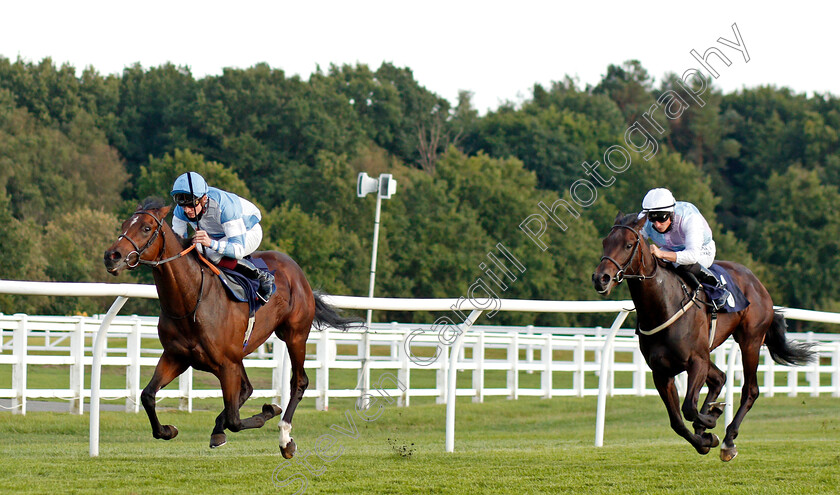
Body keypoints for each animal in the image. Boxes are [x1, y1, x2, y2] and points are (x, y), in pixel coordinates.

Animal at [103, 200, 356, 460]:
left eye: (146, 228)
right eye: (124, 224)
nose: (112, 256)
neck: (191, 300)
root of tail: (296, 271)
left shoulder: (226, 364)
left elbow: (235, 420)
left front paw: (267, 411)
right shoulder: (176, 357)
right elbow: (148, 395)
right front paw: (168, 430)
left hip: (294, 335)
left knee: (298, 382)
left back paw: (285, 438)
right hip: (240, 354)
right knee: (247, 388)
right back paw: (220, 428)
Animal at [592, 212, 812, 462]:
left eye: (629, 244)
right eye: (605, 242)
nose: (601, 278)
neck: (663, 305)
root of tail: (757, 282)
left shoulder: (696, 361)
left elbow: (689, 408)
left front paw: (711, 421)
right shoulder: (662, 372)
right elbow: (677, 421)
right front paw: (705, 437)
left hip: (750, 340)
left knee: (750, 390)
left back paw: (728, 439)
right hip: (711, 353)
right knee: (719, 378)